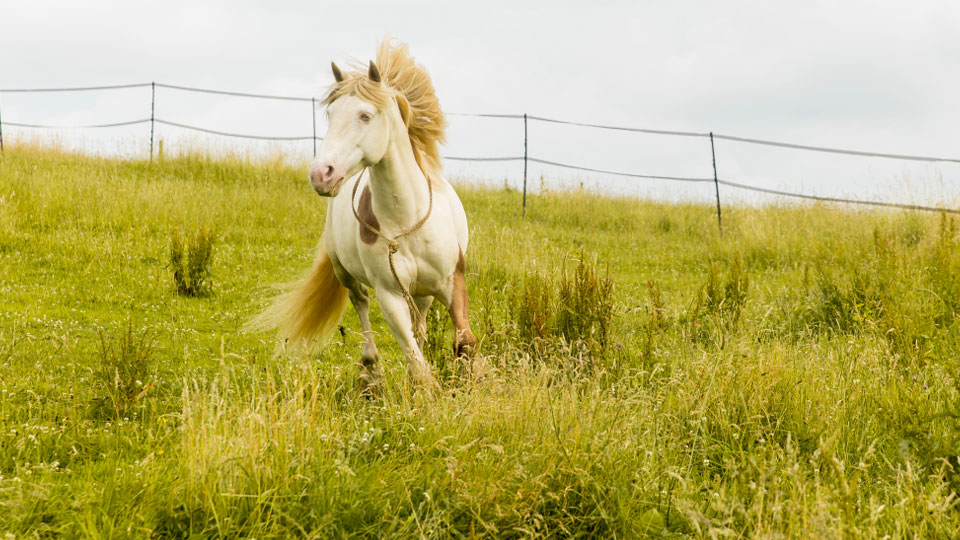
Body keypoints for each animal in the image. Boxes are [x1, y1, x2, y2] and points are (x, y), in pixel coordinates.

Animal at [258, 40, 476, 390]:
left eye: (365, 115)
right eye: (331, 114)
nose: (321, 174)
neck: (407, 219)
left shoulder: (452, 281)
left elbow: (464, 343)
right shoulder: (390, 295)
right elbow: (416, 362)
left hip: (424, 293)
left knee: (420, 322)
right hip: (345, 273)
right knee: (361, 303)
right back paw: (370, 370)